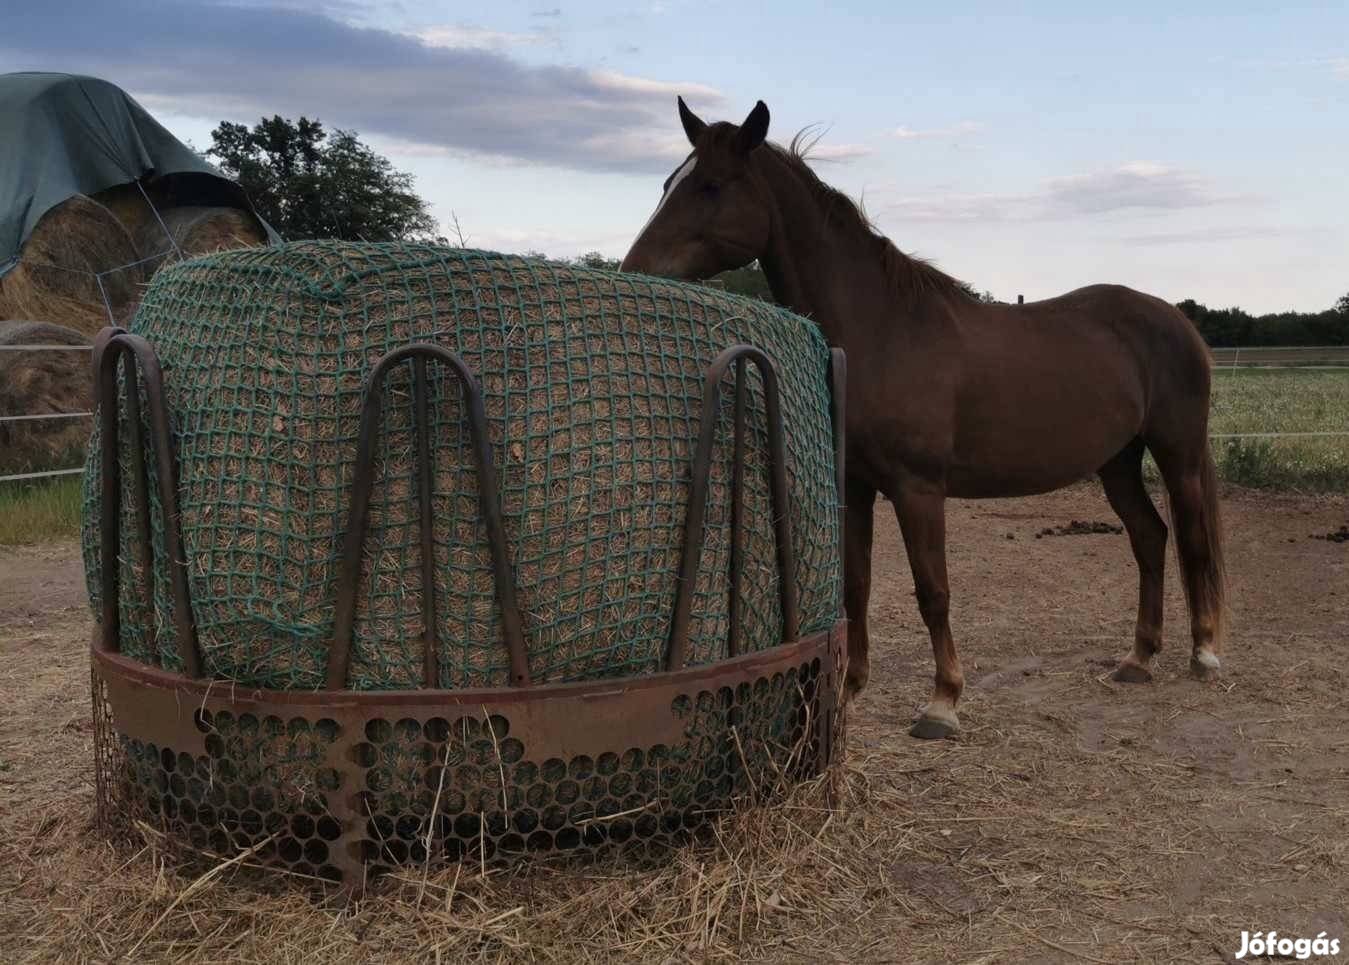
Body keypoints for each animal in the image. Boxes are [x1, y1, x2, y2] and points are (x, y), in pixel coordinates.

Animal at [620, 97, 1224, 739]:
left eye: (711, 184)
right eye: (668, 182)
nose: (633, 269)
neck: (884, 330)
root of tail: (1178, 321)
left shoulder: (918, 490)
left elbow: (933, 591)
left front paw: (942, 702)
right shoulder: (858, 488)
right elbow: (857, 584)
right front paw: (852, 686)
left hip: (1178, 455)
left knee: (1191, 540)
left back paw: (1204, 654)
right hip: (1117, 463)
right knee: (1149, 538)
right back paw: (1138, 659)